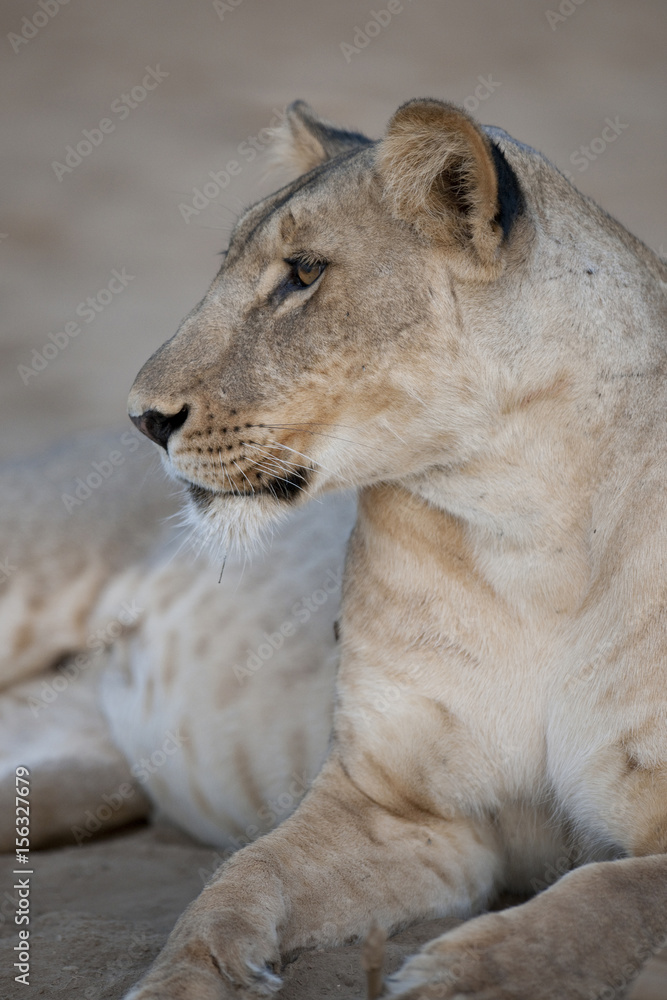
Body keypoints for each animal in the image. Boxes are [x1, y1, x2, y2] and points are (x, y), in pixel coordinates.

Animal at [117, 97, 667, 999]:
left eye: (303, 273)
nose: (143, 419)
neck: (524, 528)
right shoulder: (401, 809)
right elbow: (243, 876)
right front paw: (188, 977)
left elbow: (606, 893)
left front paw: (462, 976)